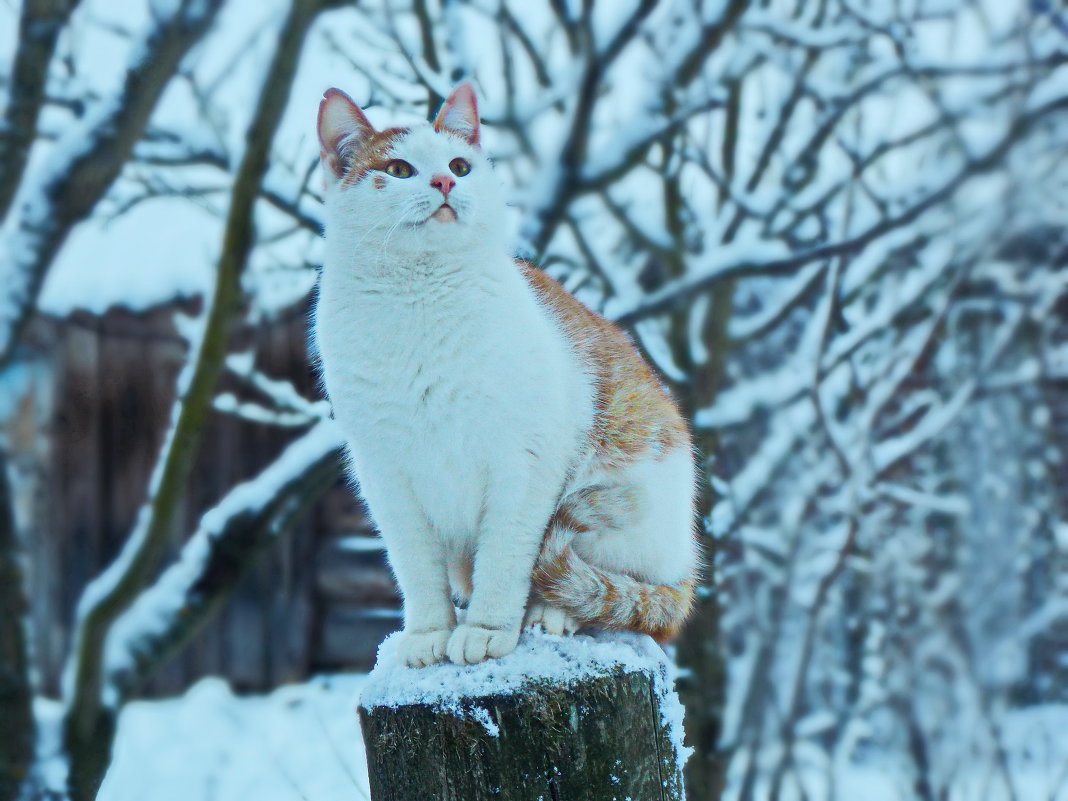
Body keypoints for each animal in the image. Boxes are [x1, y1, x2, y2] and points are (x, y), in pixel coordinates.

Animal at [311, 83, 704, 670]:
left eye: (460, 165)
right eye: (399, 169)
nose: (445, 183)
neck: (419, 305)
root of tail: (687, 567)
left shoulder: (522, 463)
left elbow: (504, 558)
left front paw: (488, 630)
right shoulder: (386, 476)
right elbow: (416, 570)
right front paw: (429, 634)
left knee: (600, 586)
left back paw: (552, 612)